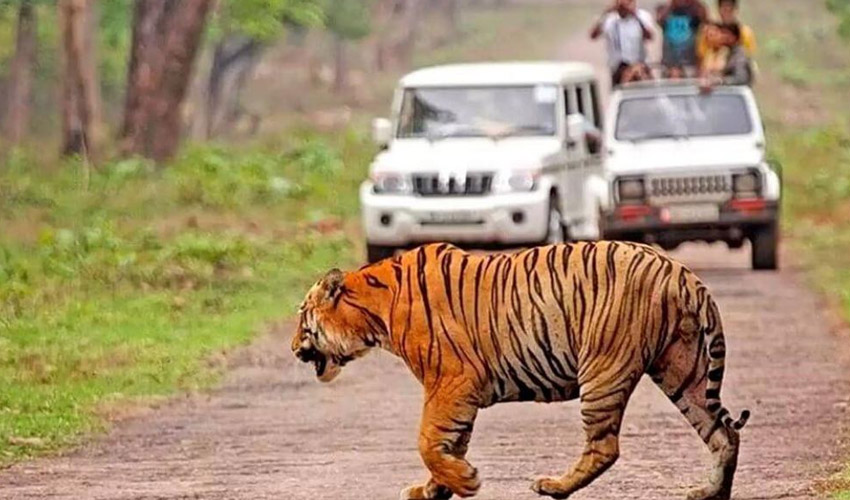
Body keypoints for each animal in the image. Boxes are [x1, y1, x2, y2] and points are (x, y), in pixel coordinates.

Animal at [292, 242, 748, 500]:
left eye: (301, 316)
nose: (294, 348)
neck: (374, 312)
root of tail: (680, 272)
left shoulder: (451, 381)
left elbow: (428, 442)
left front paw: (465, 483)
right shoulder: (456, 391)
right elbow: (448, 444)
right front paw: (435, 489)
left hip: (604, 368)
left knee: (605, 447)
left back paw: (554, 487)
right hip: (682, 370)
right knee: (724, 434)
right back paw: (711, 493)